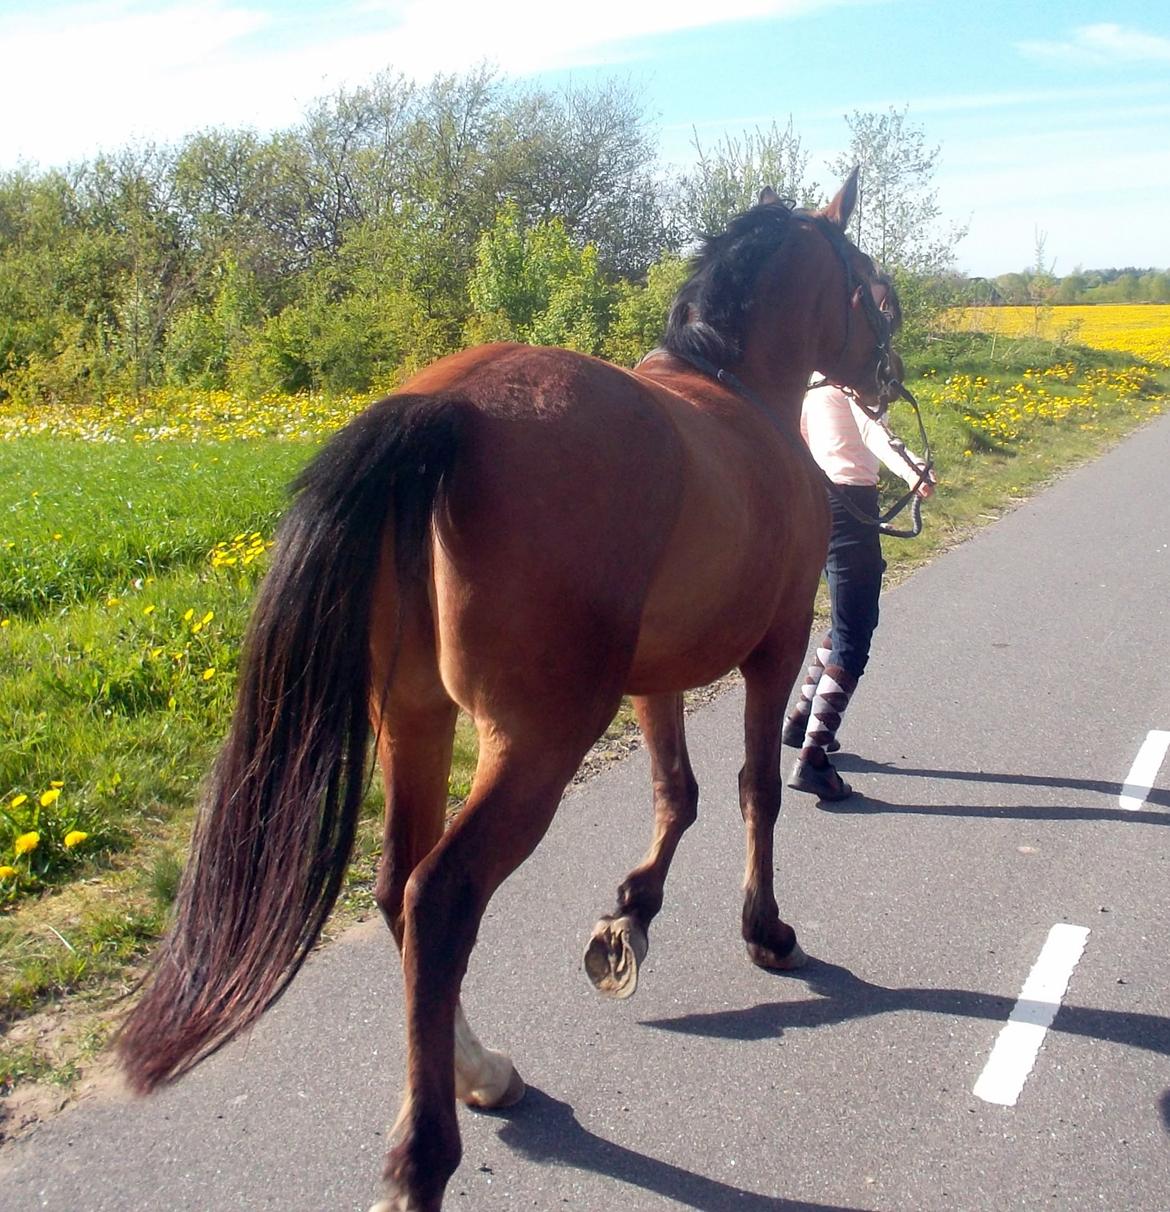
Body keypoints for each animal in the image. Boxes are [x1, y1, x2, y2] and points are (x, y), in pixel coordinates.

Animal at [117, 168, 903, 1212]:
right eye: (869, 286)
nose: (889, 376)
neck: (737, 395)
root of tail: (446, 411)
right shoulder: (773, 652)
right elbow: (754, 793)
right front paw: (764, 932)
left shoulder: (654, 680)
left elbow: (677, 795)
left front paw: (630, 917)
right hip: (535, 743)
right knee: (442, 896)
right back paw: (422, 1158)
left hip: (416, 720)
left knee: (397, 890)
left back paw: (478, 1072)